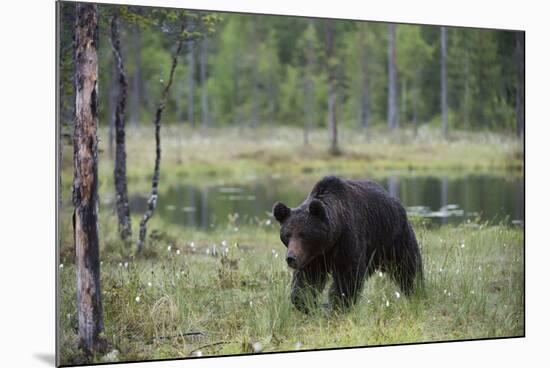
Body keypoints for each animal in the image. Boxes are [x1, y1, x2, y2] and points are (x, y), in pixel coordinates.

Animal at [274, 175, 424, 310]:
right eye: (287, 235)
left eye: (303, 235)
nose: (291, 258)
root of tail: (396, 202)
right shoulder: (313, 256)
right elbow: (307, 278)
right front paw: (304, 302)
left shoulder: (347, 239)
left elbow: (347, 274)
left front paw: (336, 304)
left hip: (392, 238)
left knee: (407, 267)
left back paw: (417, 290)